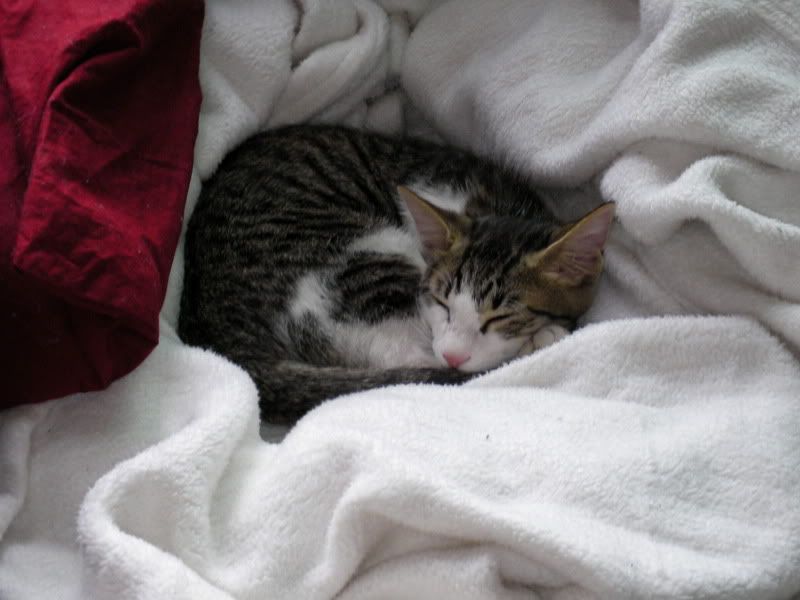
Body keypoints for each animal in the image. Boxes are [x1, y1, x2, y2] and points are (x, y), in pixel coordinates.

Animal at [178, 125, 614, 424]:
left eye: (503, 315)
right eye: (441, 303)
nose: (454, 353)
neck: (499, 206)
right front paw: (544, 334)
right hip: (367, 259)